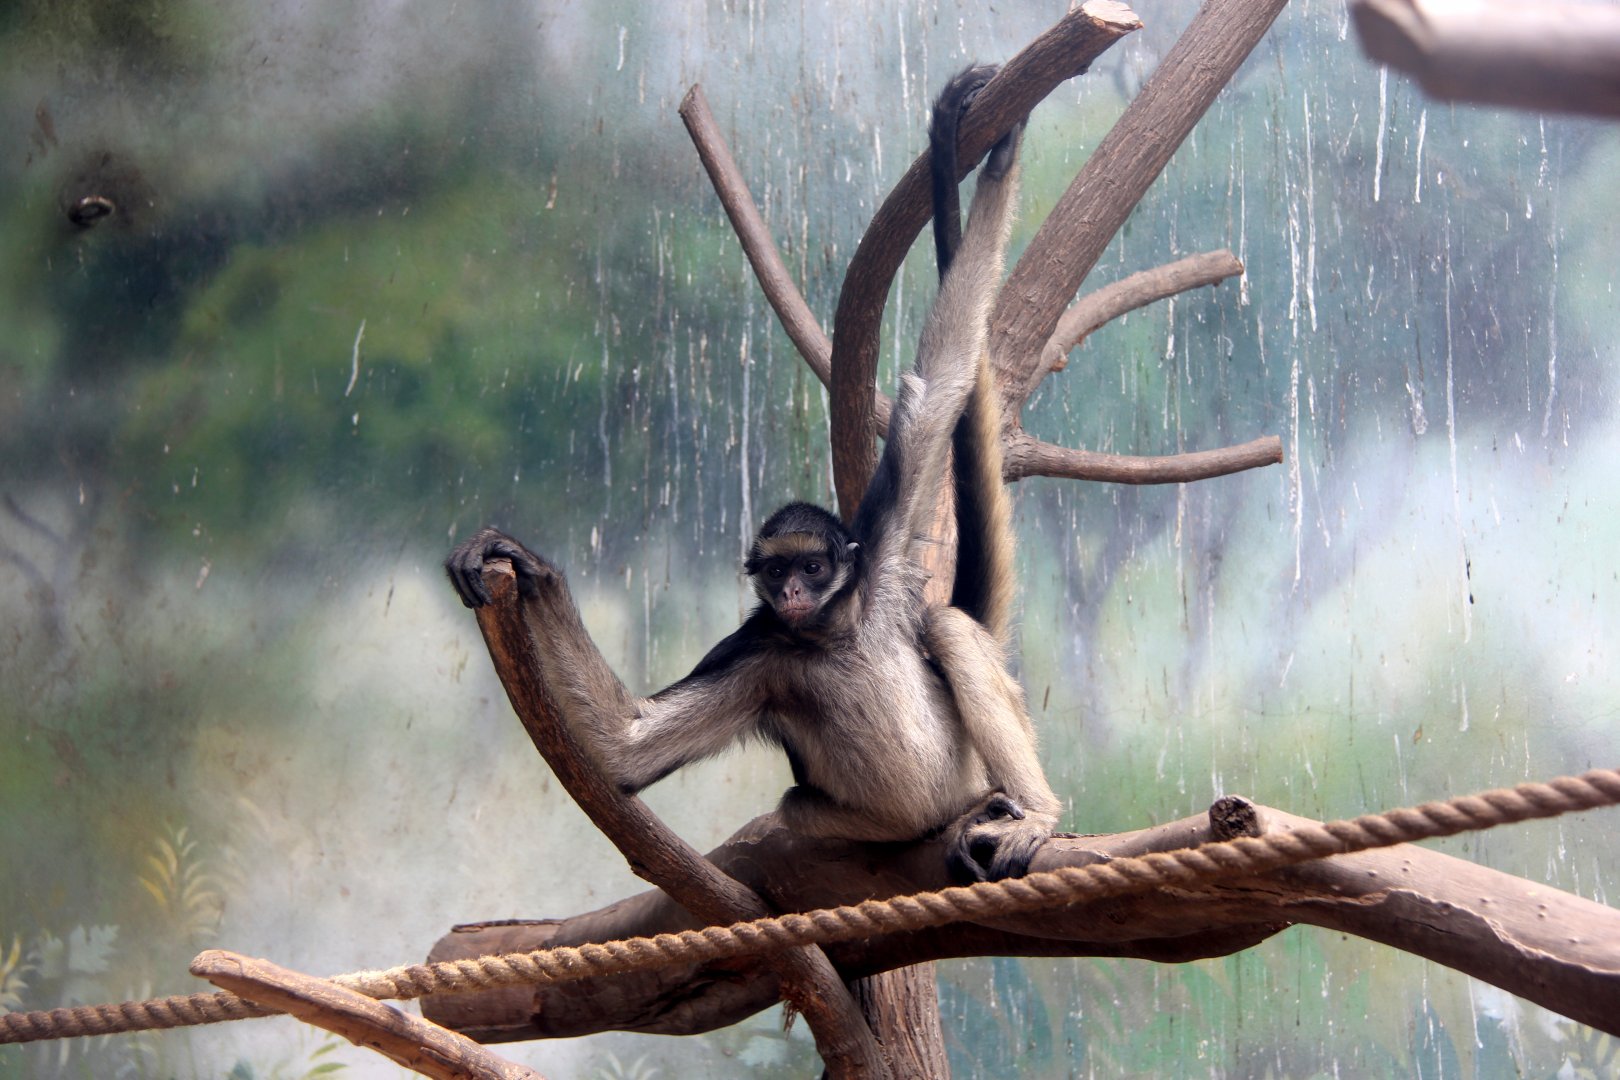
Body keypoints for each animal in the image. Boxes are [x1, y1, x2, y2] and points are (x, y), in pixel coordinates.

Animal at [446, 65, 1059, 880]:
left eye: (811, 566)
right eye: (774, 574)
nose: (793, 591)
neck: (827, 637)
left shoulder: (878, 553)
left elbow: (944, 378)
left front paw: (993, 151)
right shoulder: (758, 651)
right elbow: (628, 748)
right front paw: (528, 566)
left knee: (951, 627)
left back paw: (1036, 813)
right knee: (798, 804)